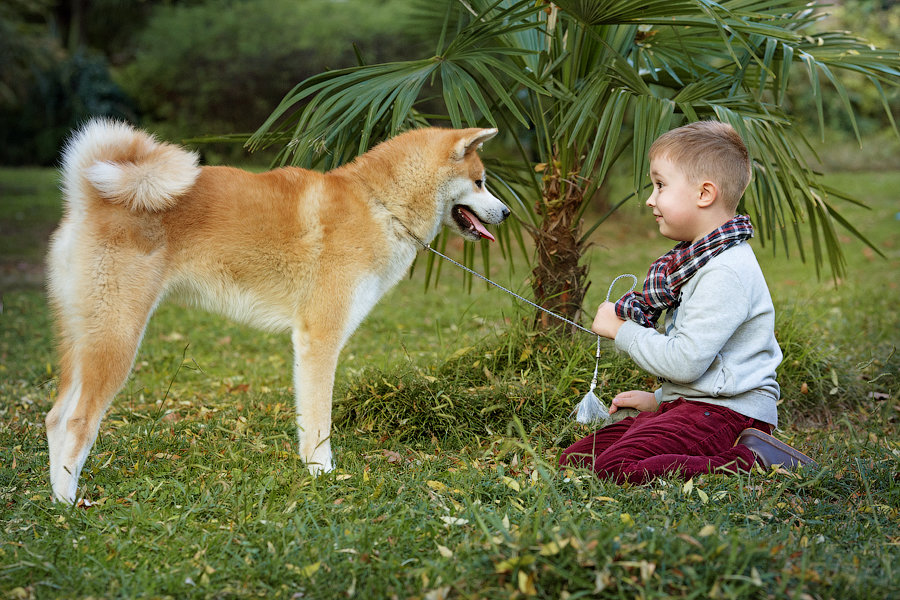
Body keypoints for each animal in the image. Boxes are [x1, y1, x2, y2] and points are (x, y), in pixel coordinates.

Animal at [45, 119, 510, 504]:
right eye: (480, 182)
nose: (506, 212)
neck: (379, 205)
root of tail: (89, 197)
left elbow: (308, 420)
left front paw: (311, 469)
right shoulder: (320, 339)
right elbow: (320, 420)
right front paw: (323, 472)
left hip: (82, 341)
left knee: (55, 417)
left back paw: (55, 494)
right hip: (117, 341)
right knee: (78, 421)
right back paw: (69, 503)